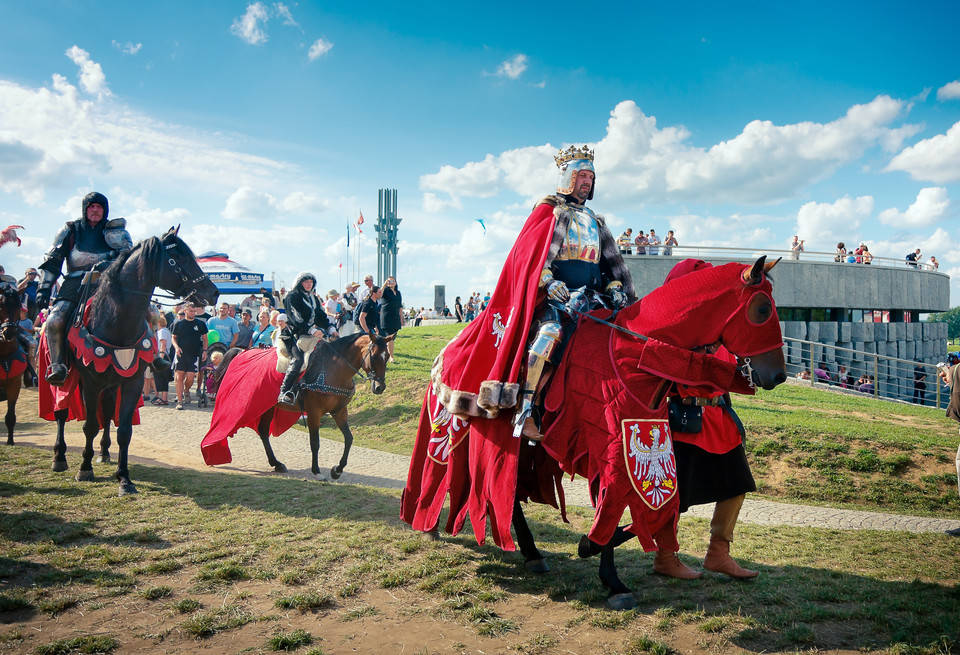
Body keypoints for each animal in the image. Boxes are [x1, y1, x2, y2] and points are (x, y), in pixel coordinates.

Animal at [46, 228, 218, 494]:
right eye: (178, 258)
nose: (214, 293)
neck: (115, 322)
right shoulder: (90, 382)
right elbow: (89, 425)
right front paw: (84, 469)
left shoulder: (132, 381)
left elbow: (124, 430)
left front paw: (124, 478)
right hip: (67, 378)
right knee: (62, 412)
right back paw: (59, 457)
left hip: (111, 383)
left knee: (107, 413)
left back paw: (104, 453)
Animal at [208, 336, 392, 480]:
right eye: (374, 357)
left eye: (387, 356)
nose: (380, 387)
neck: (333, 369)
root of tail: (242, 351)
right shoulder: (314, 412)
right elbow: (315, 442)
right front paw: (317, 471)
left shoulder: (339, 412)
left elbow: (349, 439)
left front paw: (337, 470)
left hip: (268, 407)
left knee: (263, 431)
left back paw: (276, 464)